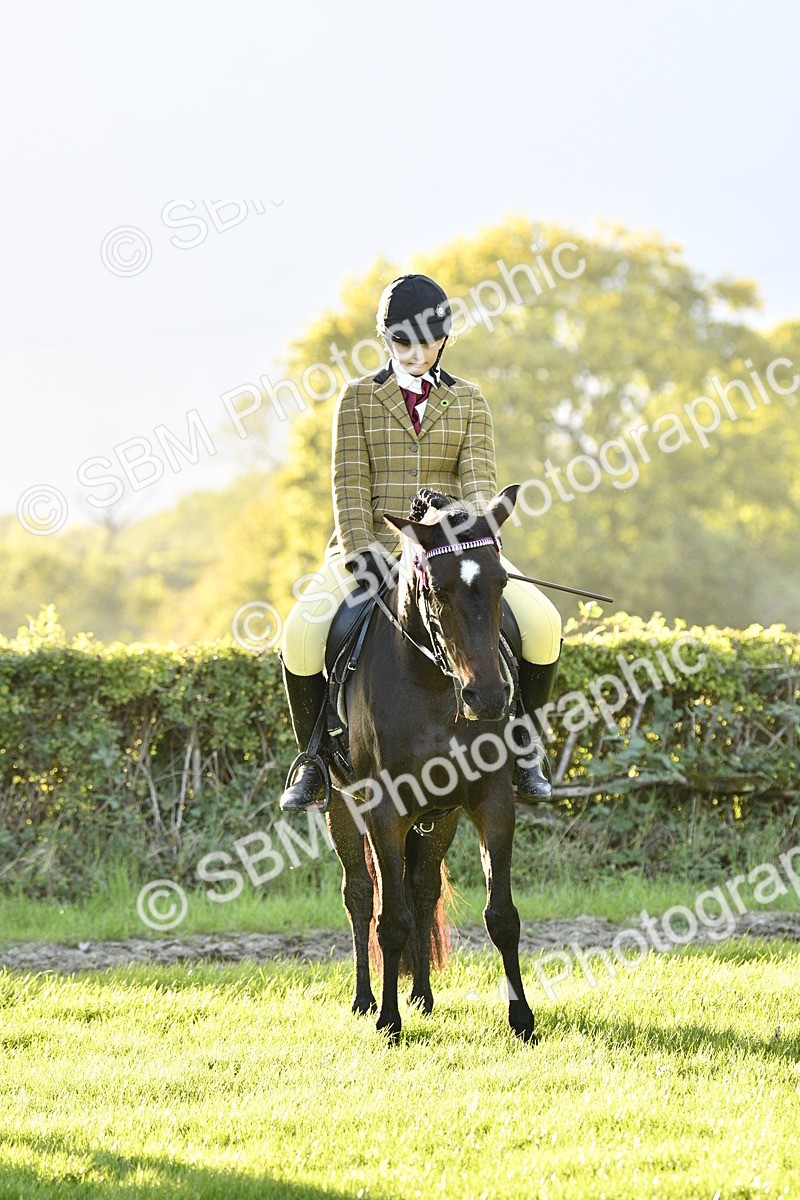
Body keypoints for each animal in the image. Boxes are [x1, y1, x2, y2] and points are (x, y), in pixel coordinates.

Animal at [325, 484, 538, 1044]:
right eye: (437, 587)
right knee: (361, 895)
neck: (435, 689)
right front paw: (388, 1023)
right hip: (341, 804)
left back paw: (422, 994)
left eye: (501, 582)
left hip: (439, 818)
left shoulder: (491, 801)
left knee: (421, 889)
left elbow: (501, 915)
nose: (489, 698)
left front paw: (522, 1020)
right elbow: (389, 919)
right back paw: (366, 1000)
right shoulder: (383, 809)